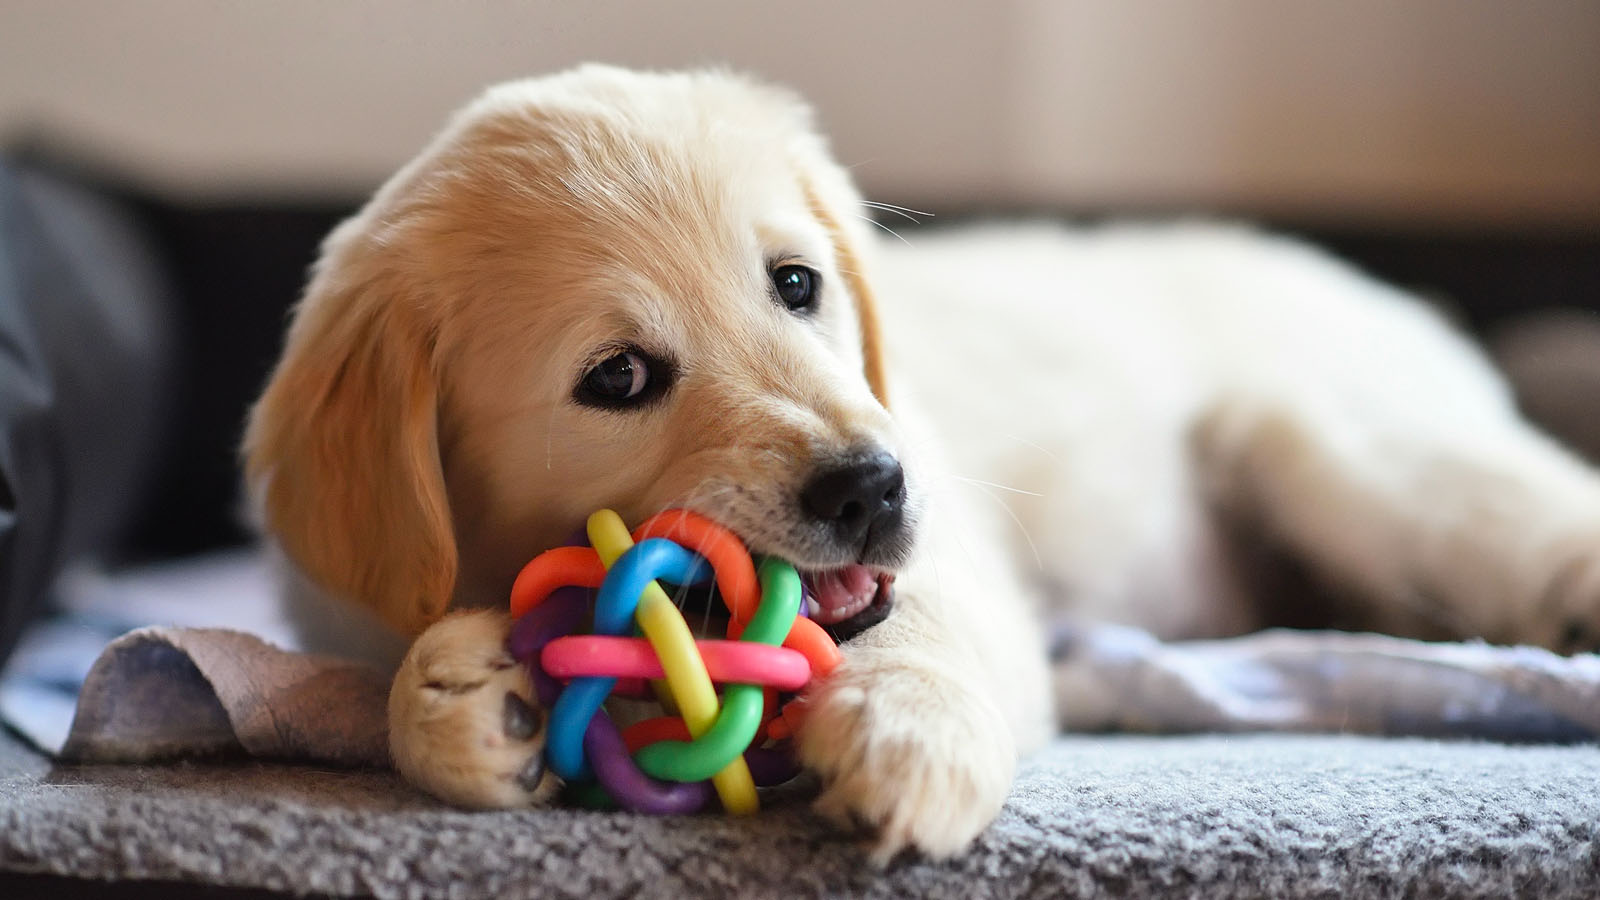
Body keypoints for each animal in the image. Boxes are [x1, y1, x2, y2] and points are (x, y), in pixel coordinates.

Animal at [243, 64, 1600, 864]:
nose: (869, 488)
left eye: (797, 285)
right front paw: (463, 697)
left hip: (1336, 451)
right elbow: (391, 675)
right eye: (617, 378)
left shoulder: (954, 549)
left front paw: (907, 733)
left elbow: (920, 627)